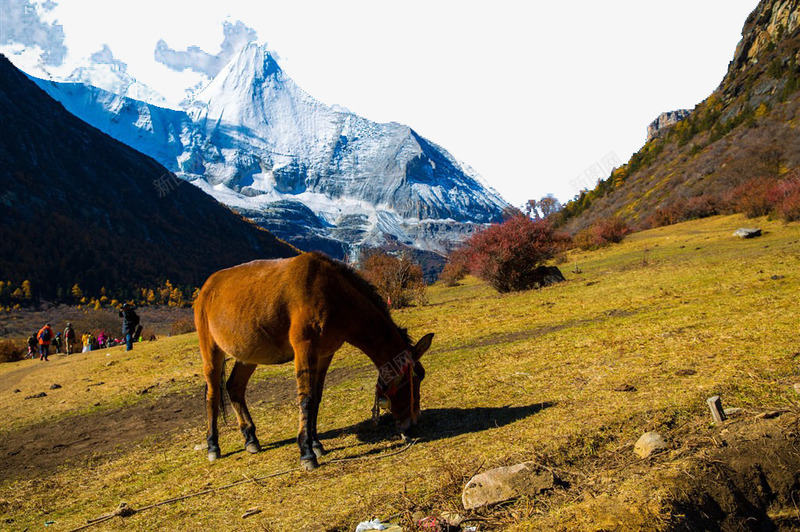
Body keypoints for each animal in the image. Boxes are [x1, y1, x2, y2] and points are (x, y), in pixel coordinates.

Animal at [194, 251, 432, 468]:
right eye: (411, 379)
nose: (413, 420)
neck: (335, 295)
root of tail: (207, 287)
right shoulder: (305, 349)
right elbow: (306, 399)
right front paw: (306, 452)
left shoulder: (324, 354)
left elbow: (316, 398)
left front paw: (316, 444)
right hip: (211, 350)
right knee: (213, 393)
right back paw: (213, 445)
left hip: (248, 354)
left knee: (234, 387)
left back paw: (250, 438)